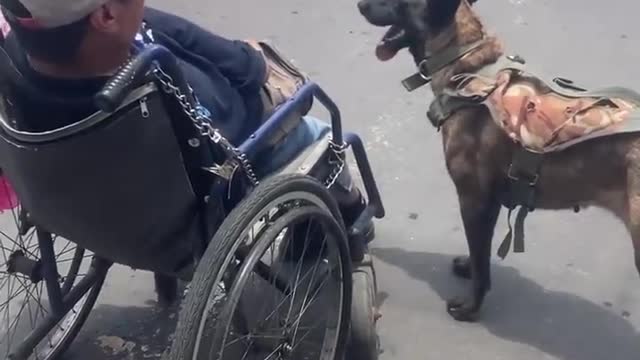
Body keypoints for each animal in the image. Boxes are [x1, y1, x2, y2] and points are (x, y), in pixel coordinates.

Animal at [360, 0, 640, 322]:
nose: (359, 5)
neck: (466, 66)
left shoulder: (473, 199)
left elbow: (482, 262)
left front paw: (470, 307)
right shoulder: (489, 203)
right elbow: (479, 252)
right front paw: (469, 267)